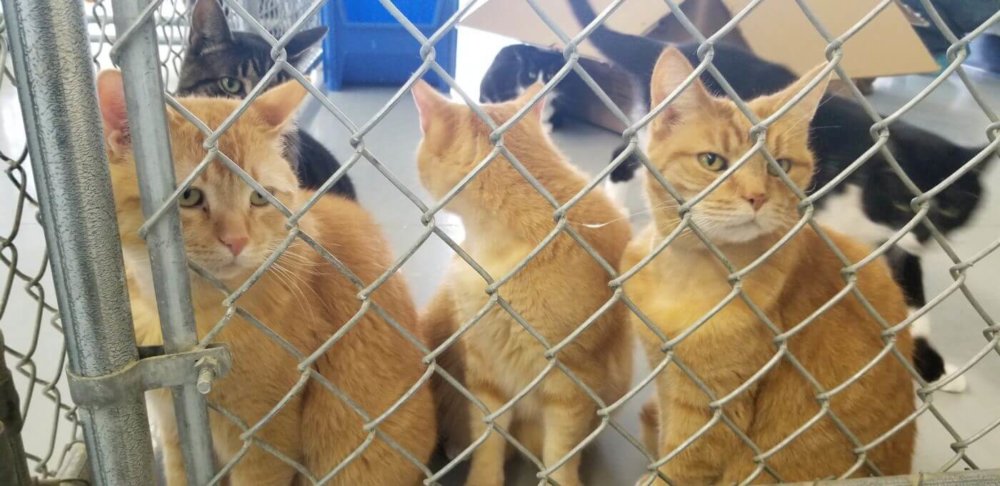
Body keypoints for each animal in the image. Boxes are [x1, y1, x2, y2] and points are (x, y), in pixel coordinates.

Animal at [480, 0, 996, 394]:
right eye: (902, 202)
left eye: (953, 209)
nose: (926, 237)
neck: (862, 183)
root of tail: (677, 47)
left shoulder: (892, 243)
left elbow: (913, 295)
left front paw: (938, 366)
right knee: (622, 158)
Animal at [620, 48, 916, 482]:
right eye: (712, 161)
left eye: (779, 166)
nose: (757, 196)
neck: (684, 276)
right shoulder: (668, 380)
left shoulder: (711, 411)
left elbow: (679, 465)